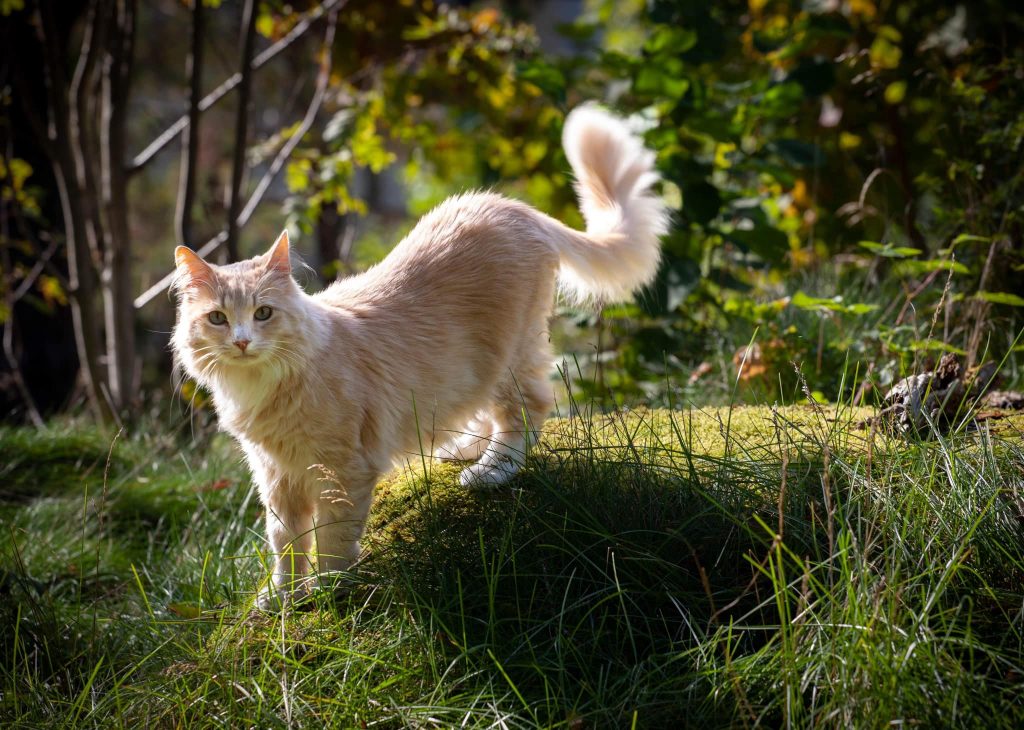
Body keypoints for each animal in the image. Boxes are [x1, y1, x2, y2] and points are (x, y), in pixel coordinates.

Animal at [172, 100, 667, 602]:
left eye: (263, 313)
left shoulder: (341, 470)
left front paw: (329, 589)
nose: (241, 341)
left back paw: (491, 470)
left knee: (527, 411)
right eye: (218, 318)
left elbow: (332, 538)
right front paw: (284, 596)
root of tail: (516, 209)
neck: (261, 388)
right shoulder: (275, 474)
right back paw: (463, 450)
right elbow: (285, 541)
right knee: (486, 412)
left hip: (509, 356)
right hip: (473, 372)